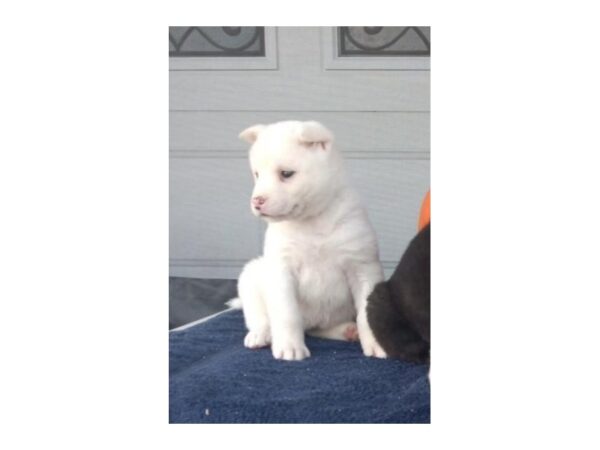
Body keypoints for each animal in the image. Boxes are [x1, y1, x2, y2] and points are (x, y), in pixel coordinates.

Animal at [234, 121, 384, 360]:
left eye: (286, 174)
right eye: (256, 174)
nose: (257, 201)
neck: (312, 222)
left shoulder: (362, 268)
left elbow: (366, 313)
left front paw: (376, 343)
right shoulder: (281, 272)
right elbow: (286, 314)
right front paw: (289, 347)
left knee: (318, 328)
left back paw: (347, 330)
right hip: (251, 277)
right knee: (259, 317)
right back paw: (260, 334)